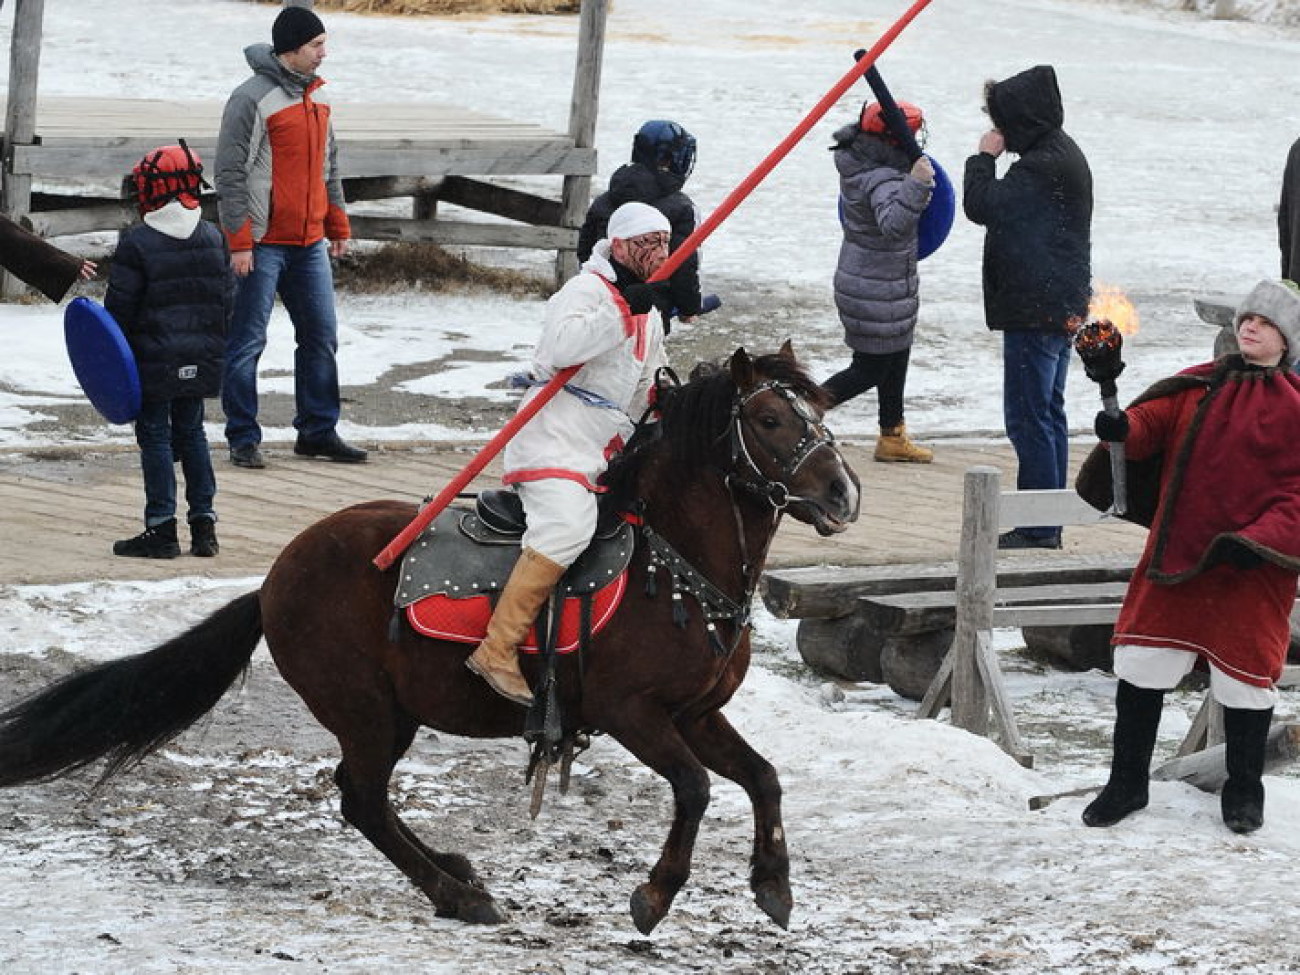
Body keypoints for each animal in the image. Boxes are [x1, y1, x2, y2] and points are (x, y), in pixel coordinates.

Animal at [0, 340, 857, 930]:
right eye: (771, 419)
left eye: (820, 417)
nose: (844, 495)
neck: (672, 562)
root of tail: (272, 581)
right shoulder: (634, 714)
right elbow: (697, 788)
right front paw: (654, 891)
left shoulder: (696, 713)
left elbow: (764, 778)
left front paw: (774, 883)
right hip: (368, 711)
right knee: (362, 800)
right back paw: (455, 891)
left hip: (392, 714)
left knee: (365, 798)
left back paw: (452, 871)